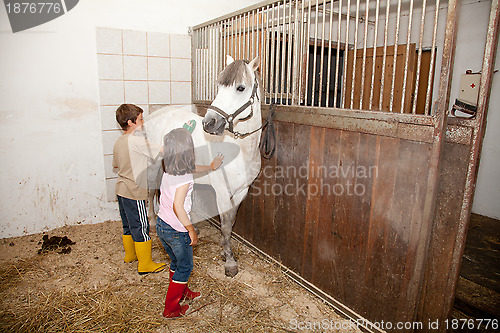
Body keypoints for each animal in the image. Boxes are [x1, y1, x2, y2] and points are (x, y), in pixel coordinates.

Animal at [144, 55, 262, 276]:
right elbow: (225, 225)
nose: (209, 123)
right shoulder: (222, 191)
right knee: (149, 192)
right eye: (219, 85)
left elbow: (230, 222)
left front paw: (225, 251)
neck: (241, 151)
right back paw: (153, 224)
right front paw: (229, 262)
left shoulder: (242, 190)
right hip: (153, 163)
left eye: (240, 88)